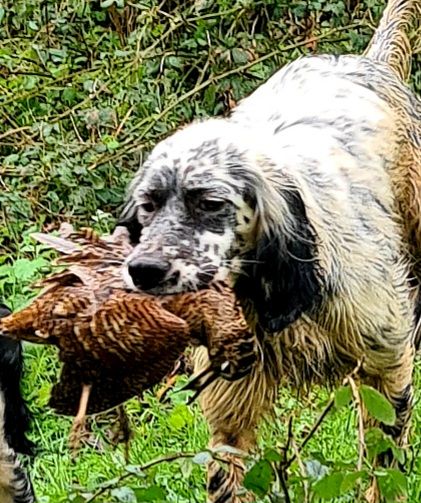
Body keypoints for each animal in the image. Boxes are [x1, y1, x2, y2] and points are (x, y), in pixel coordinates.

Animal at [117, 1, 420, 502]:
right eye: (149, 204)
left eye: (209, 203)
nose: (143, 269)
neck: (272, 291)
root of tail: (366, 61)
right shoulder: (231, 408)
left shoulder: (387, 366)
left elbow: (384, 466)